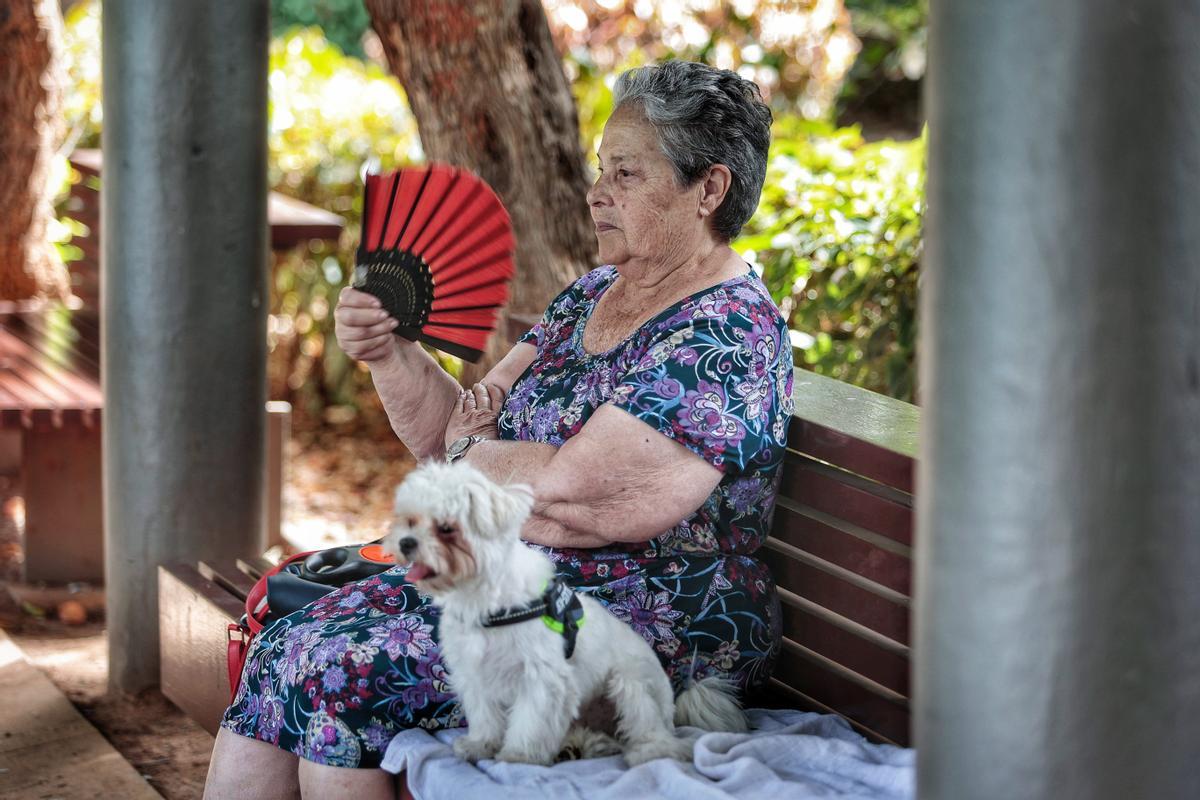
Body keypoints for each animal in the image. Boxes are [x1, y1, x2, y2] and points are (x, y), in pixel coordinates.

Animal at [384, 460, 744, 767]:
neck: (481, 598)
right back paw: (581, 746)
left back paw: (650, 751)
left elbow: (531, 722)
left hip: (630, 682)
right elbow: (486, 717)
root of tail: (675, 702)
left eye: (447, 528)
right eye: (410, 520)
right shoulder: (476, 674)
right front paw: (481, 745)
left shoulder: (542, 678)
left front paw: (519, 756)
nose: (405, 542)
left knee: (648, 728)